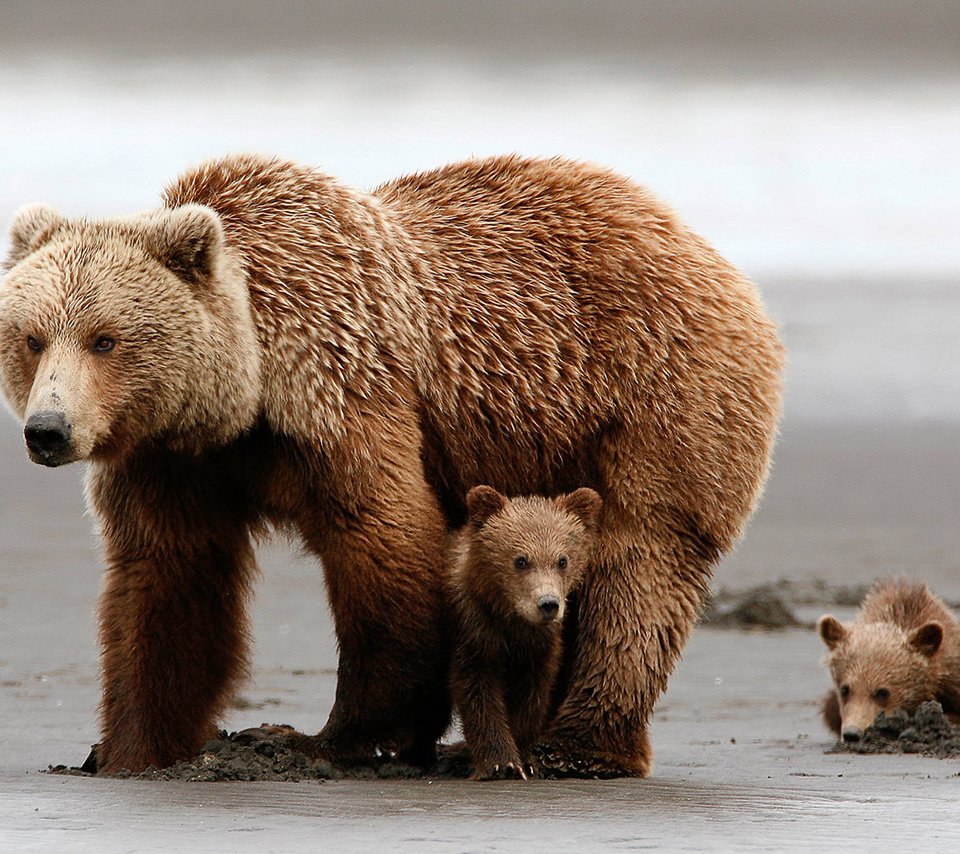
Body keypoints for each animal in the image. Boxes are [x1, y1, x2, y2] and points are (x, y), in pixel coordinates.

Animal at [0, 154, 780, 776]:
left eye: (105, 339)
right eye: (32, 337)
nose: (48, 431)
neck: (246, 394)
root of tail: (707, 252)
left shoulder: (343, 393)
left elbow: (384, 542)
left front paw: (329, 737)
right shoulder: (172, 460)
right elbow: (166, 579)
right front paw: (130, 748)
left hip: (655, 397)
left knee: (640, 565)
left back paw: (579, 747)